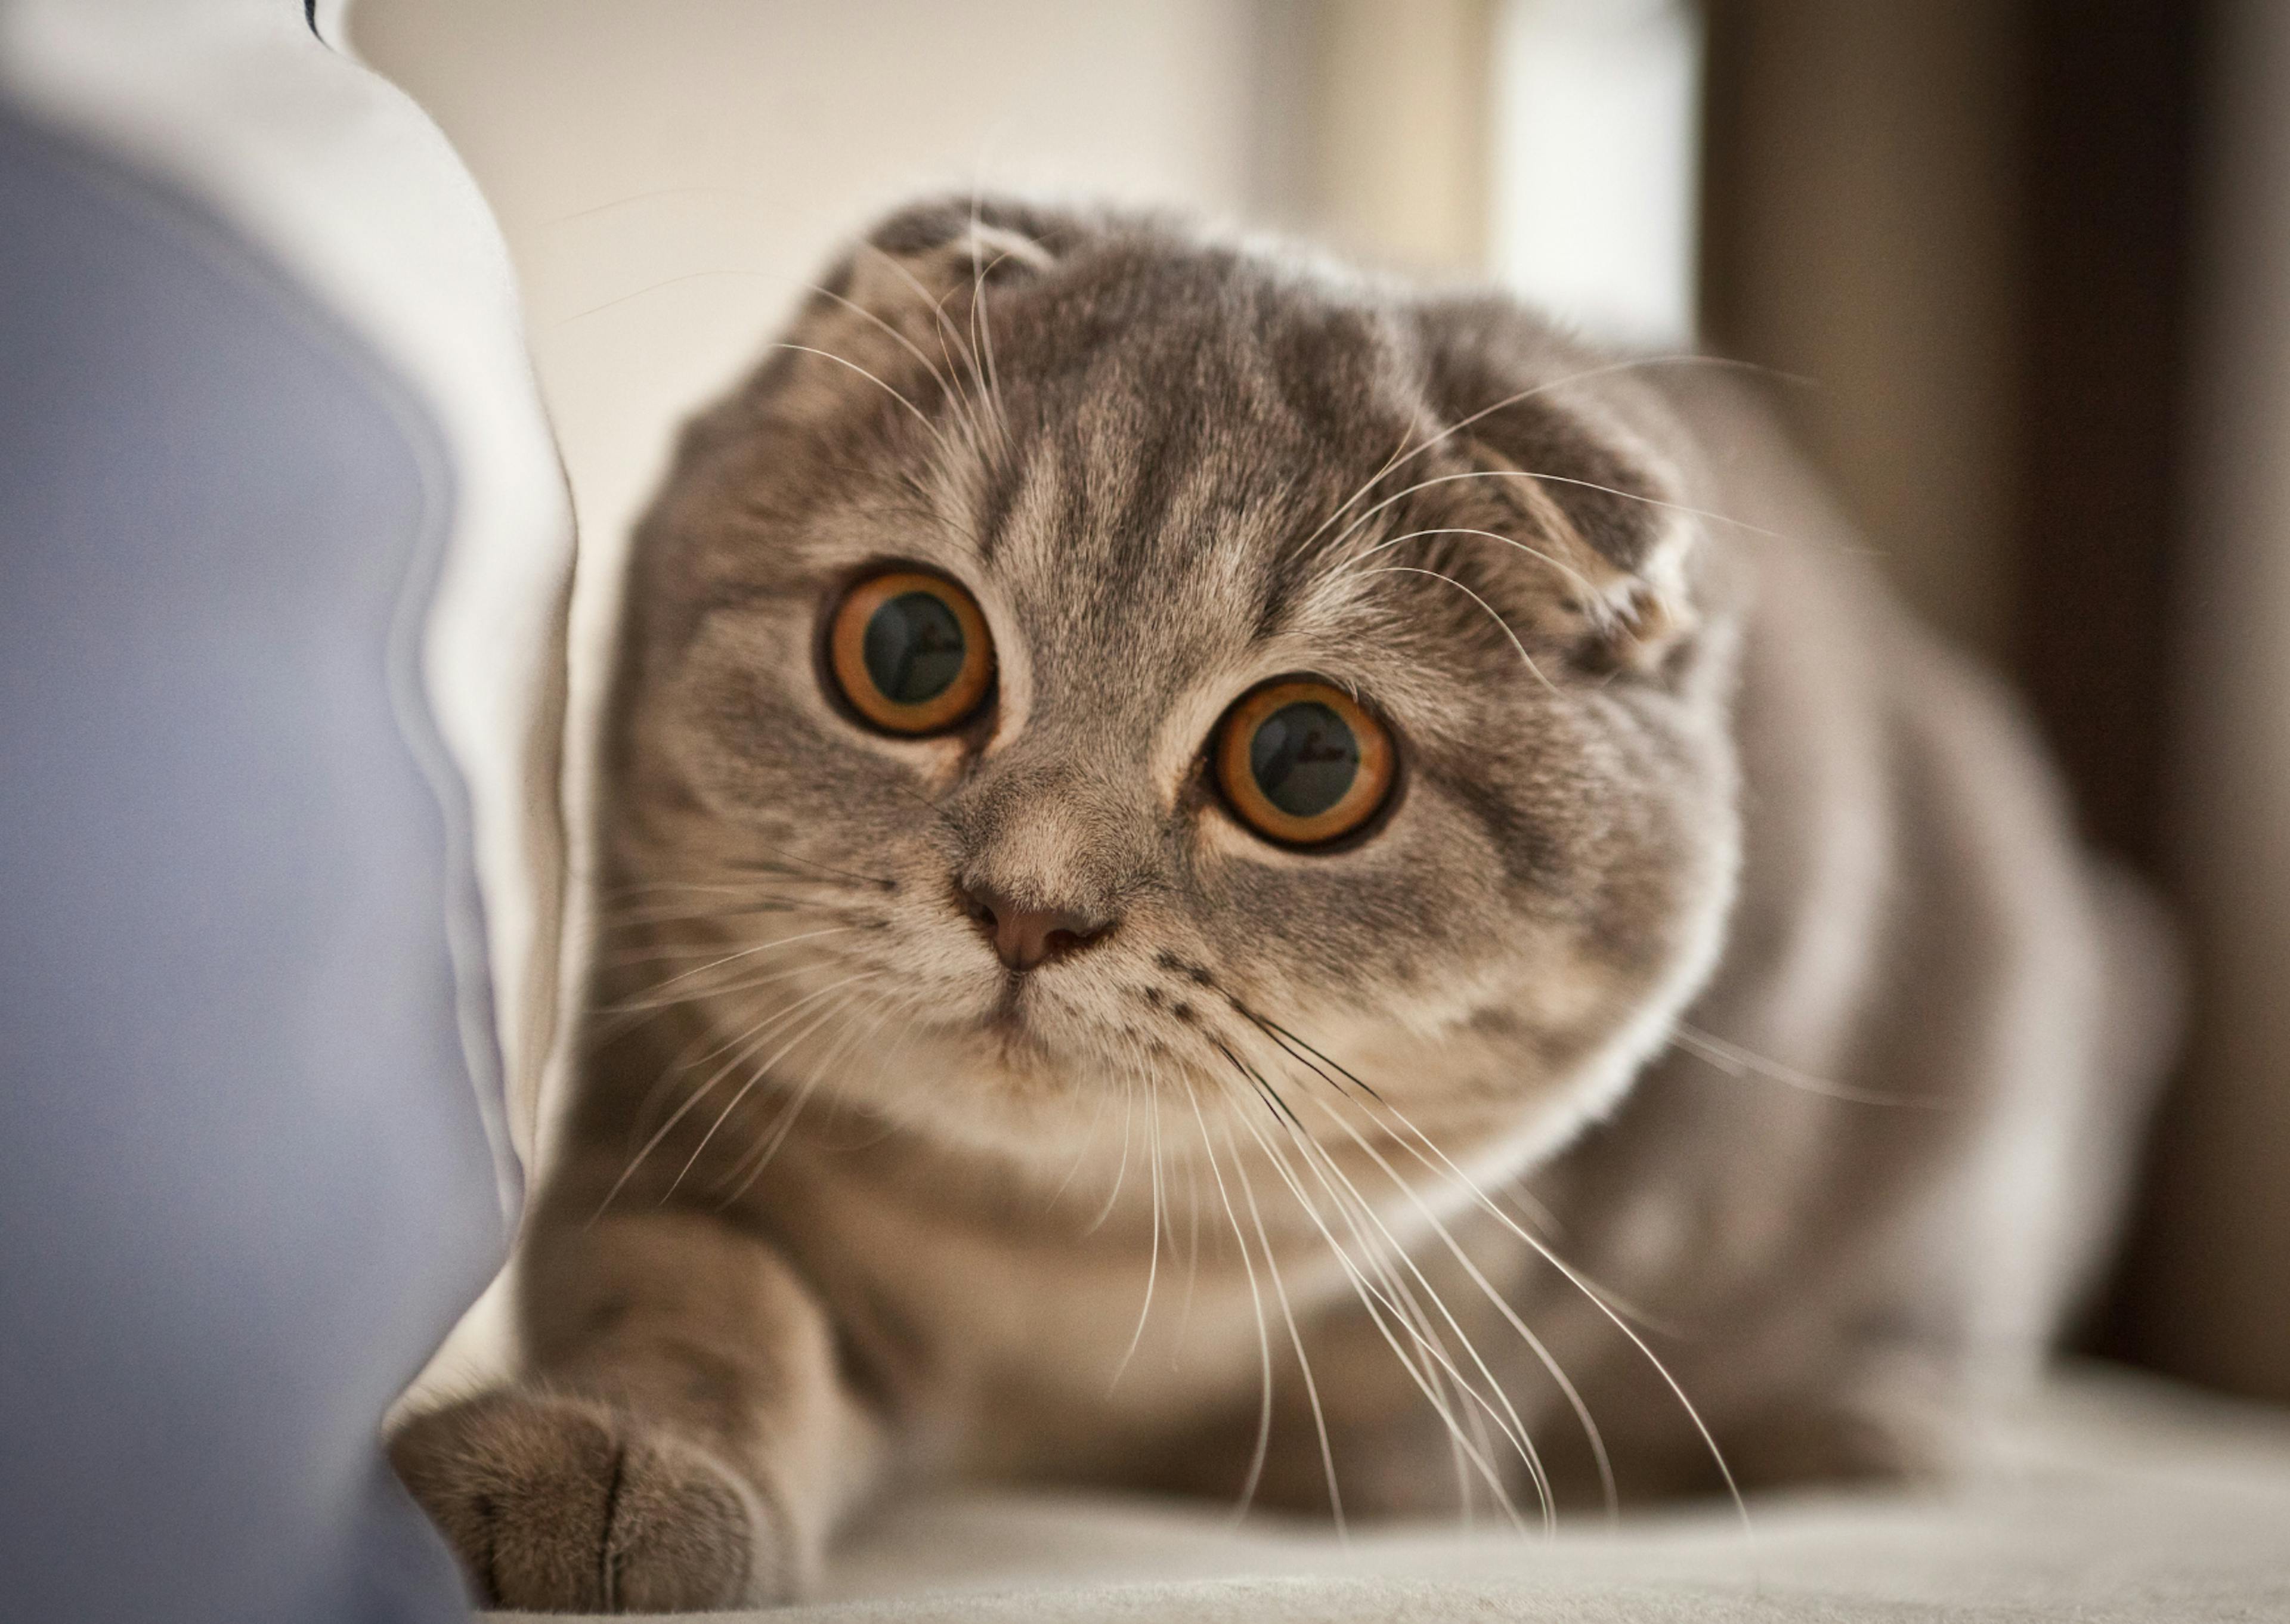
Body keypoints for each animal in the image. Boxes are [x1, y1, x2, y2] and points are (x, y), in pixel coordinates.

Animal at [385, 196, 2171, 1603]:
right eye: (907, 647)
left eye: (1306, 761)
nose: (1026, 907)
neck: (1044, 1266)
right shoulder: (674, 1127)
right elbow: (699, 1296)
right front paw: (603, 1460)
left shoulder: (1421, 1378)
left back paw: (1847, 1420)